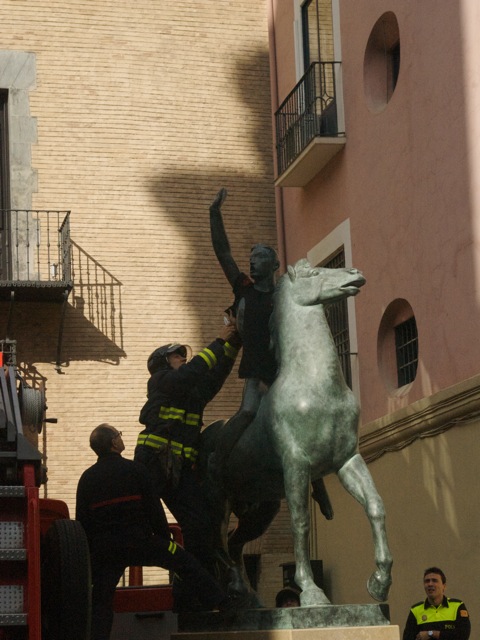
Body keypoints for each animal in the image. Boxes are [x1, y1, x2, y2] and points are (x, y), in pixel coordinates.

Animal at [201, 258, 392, 604]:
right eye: (314, 273)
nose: (355, 274)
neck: (315, 385)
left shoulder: (347, 460)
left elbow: (375, 506)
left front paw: (380, 582)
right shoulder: (295, 465)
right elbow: (300, 522)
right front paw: (311, 590)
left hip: (261, 509)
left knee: (235, 543)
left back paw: (248, 595)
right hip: (218, 503)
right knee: (217, 543)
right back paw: (233, 592)